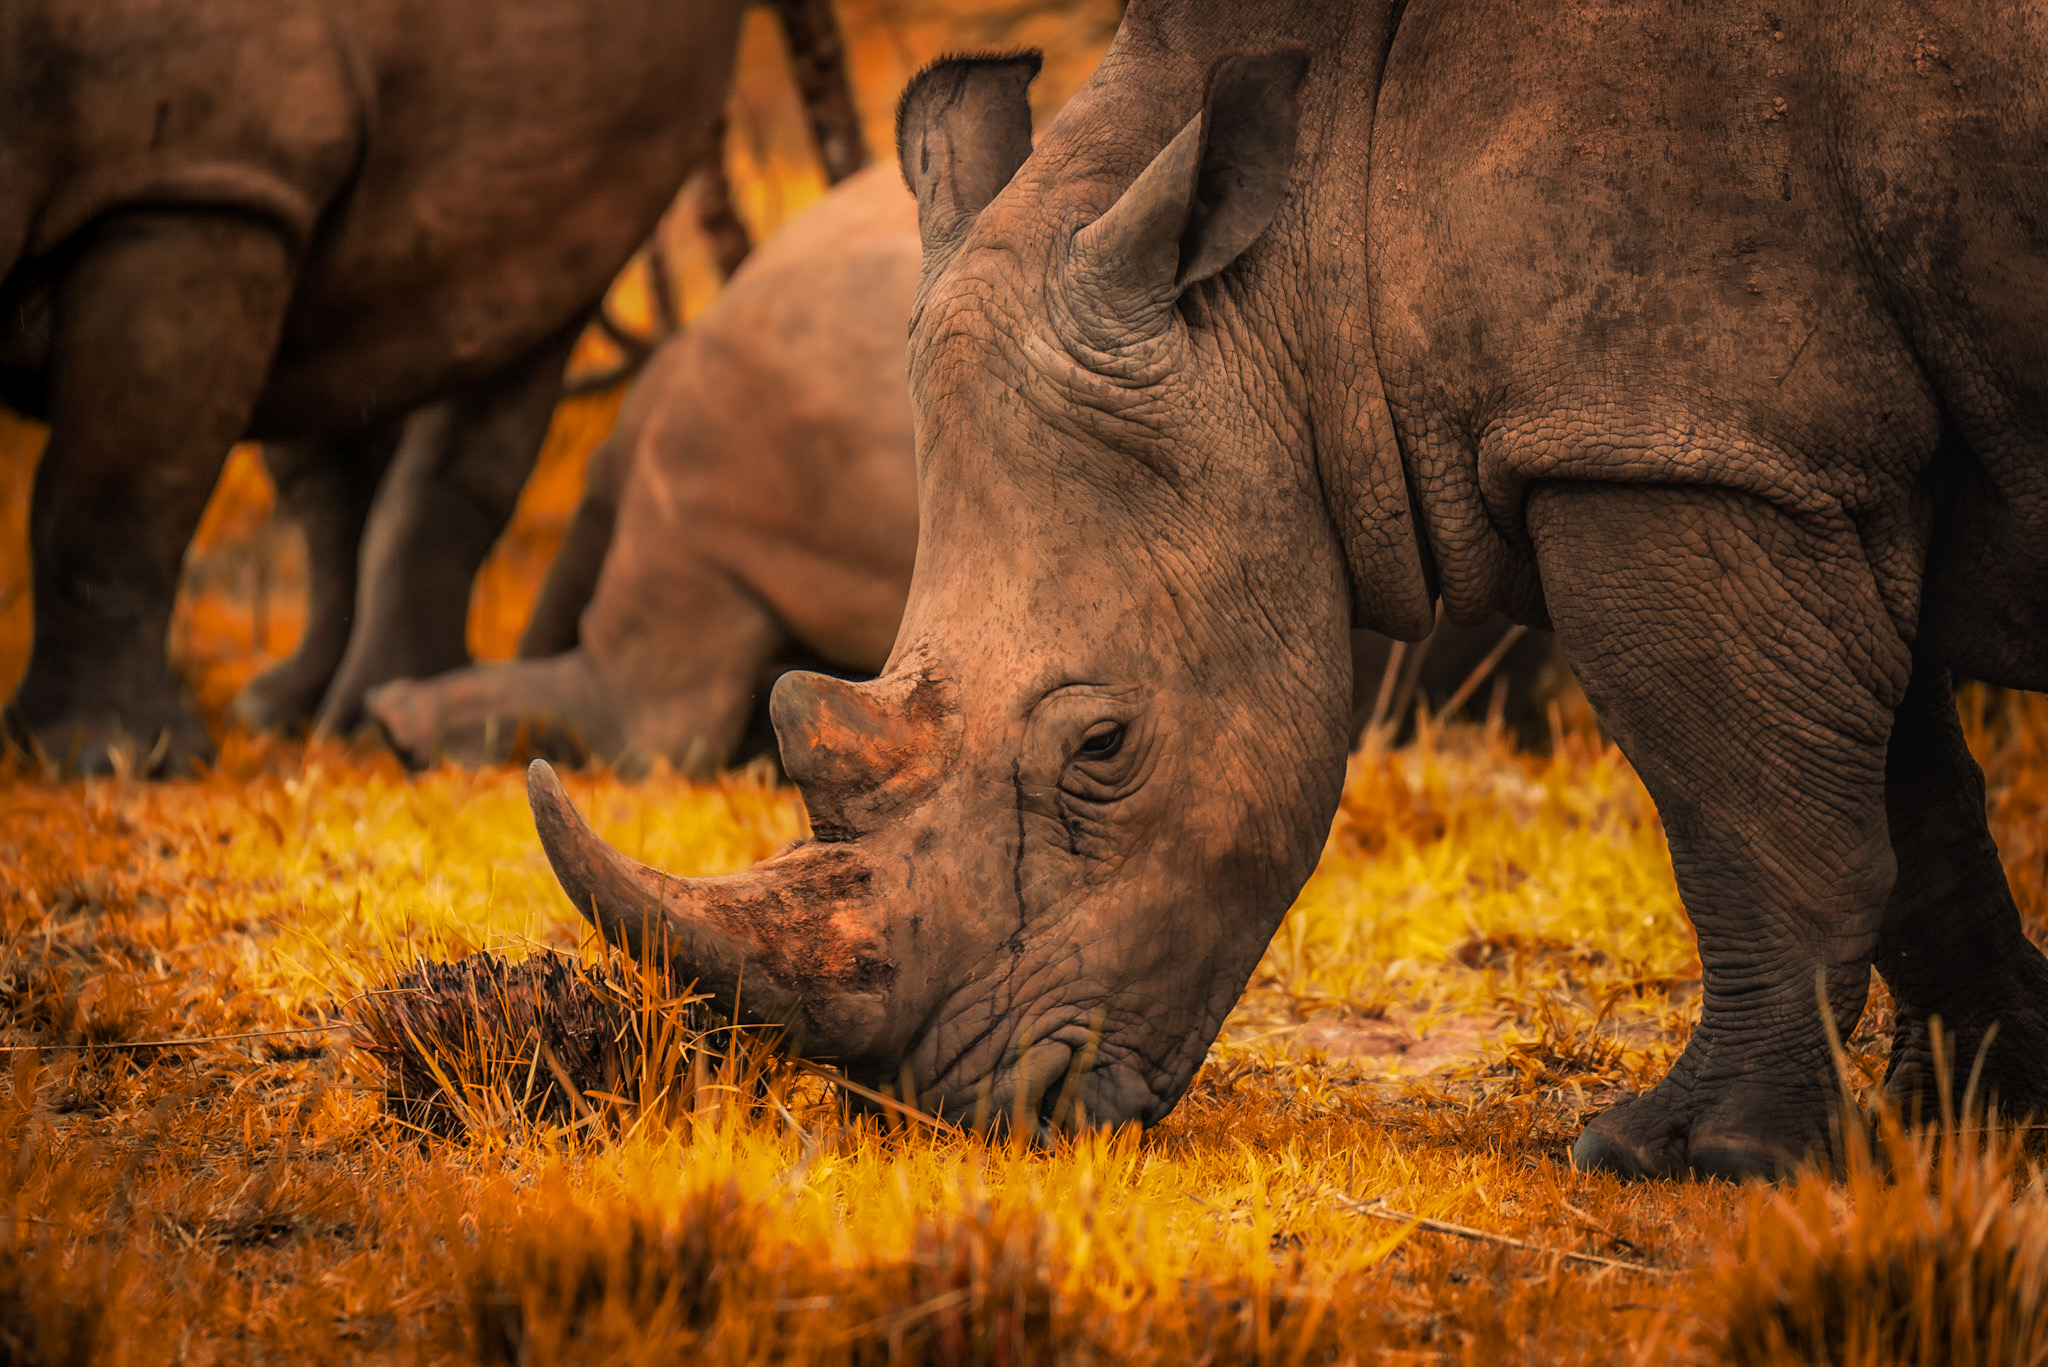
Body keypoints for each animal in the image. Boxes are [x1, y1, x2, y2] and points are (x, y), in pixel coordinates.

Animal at [0, 0, 751, 770]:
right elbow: (127, 476)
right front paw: (112, 757)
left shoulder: (192, 180)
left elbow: (116, 485)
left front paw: (116, 760)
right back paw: (300, 716)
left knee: (517, 302)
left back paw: (379, 732)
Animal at [528, 0, 2048, 1179]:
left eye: (1103, 747)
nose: (961, 1115)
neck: (1308, 266)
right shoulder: (1782, 456)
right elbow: (1907, 807)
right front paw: (1980, 1115)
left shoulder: (1671, 438)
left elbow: (1752, 805)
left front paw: (1696, 1155)